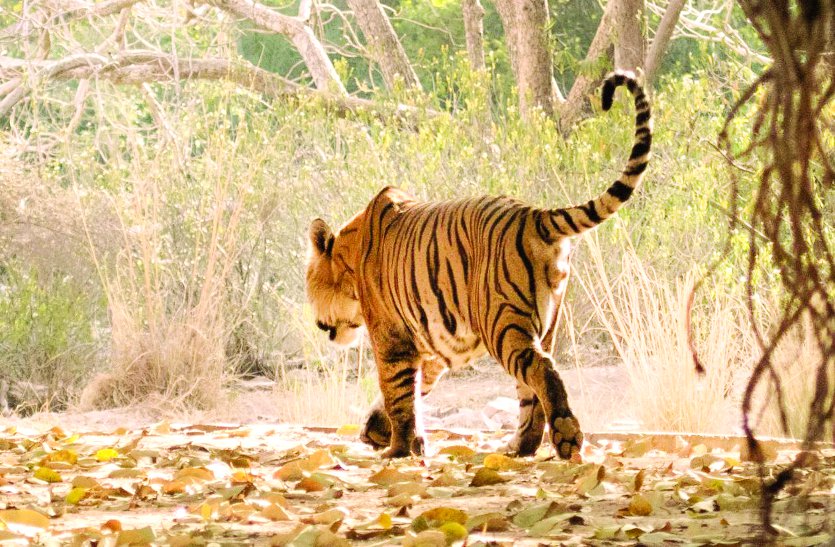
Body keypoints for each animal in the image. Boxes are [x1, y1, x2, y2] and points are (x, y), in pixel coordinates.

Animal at [305, 71, 652, 459]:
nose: (319, 324)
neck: (350, 258)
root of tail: (535, 215)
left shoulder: (391, 337)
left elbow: (398, 393)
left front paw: (397, 449)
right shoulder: (433, 349)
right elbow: (411, 392)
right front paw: (383, 433)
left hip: (501, 322)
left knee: (542, 370)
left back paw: (564, 437)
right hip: (544, 324)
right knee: (531, 390)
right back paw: (519, 446)